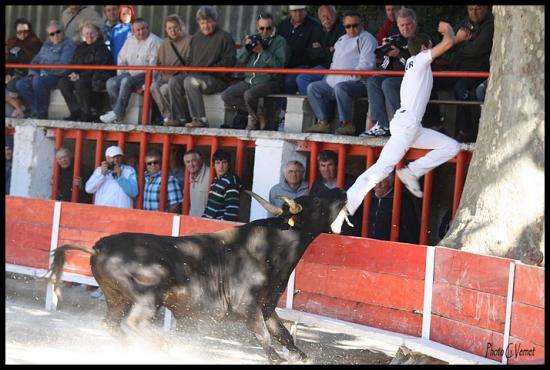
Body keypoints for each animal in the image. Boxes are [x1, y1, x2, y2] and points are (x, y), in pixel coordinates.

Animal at [47, 189, 350, 362]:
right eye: (317, 201)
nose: (341, 190)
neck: (271, 246)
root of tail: (99, 246)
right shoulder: (248, 307)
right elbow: (265, 339)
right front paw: (280, 359)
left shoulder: (267, 306)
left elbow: (284, 335)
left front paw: (301, 357)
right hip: (148, 296)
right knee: (136, 322)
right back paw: (167, 347)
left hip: (116, 299)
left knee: (111, 324)